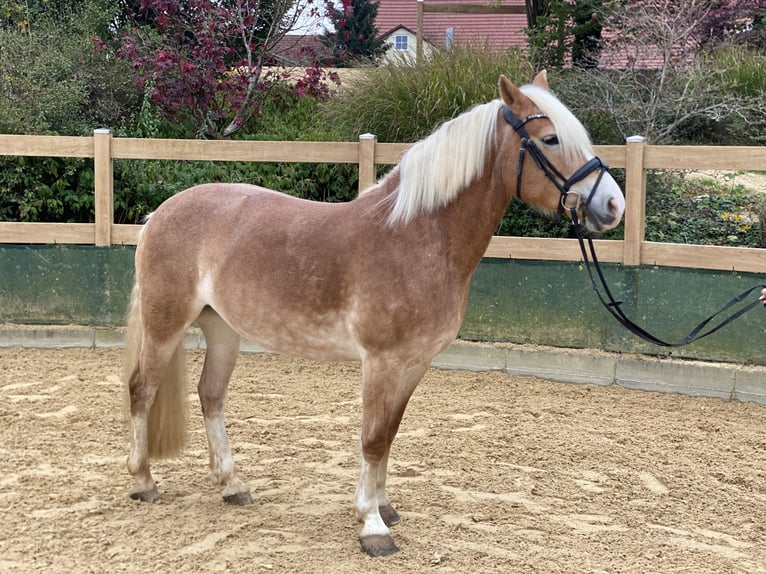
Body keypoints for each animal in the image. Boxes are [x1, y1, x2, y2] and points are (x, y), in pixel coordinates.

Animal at [123, 72, 628, 560]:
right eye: (550, 139)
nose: (613, 206)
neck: (414, 237)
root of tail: (161, 213)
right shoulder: (381, 362)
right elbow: (371, 438)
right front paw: (371, 526)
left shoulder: (414, 363)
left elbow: (390, 433)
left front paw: (384, 507)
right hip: (165, 325)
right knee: (142, 390)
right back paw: (144, 481)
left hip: (223, 330)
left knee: (211, 396)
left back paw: (232, 485)